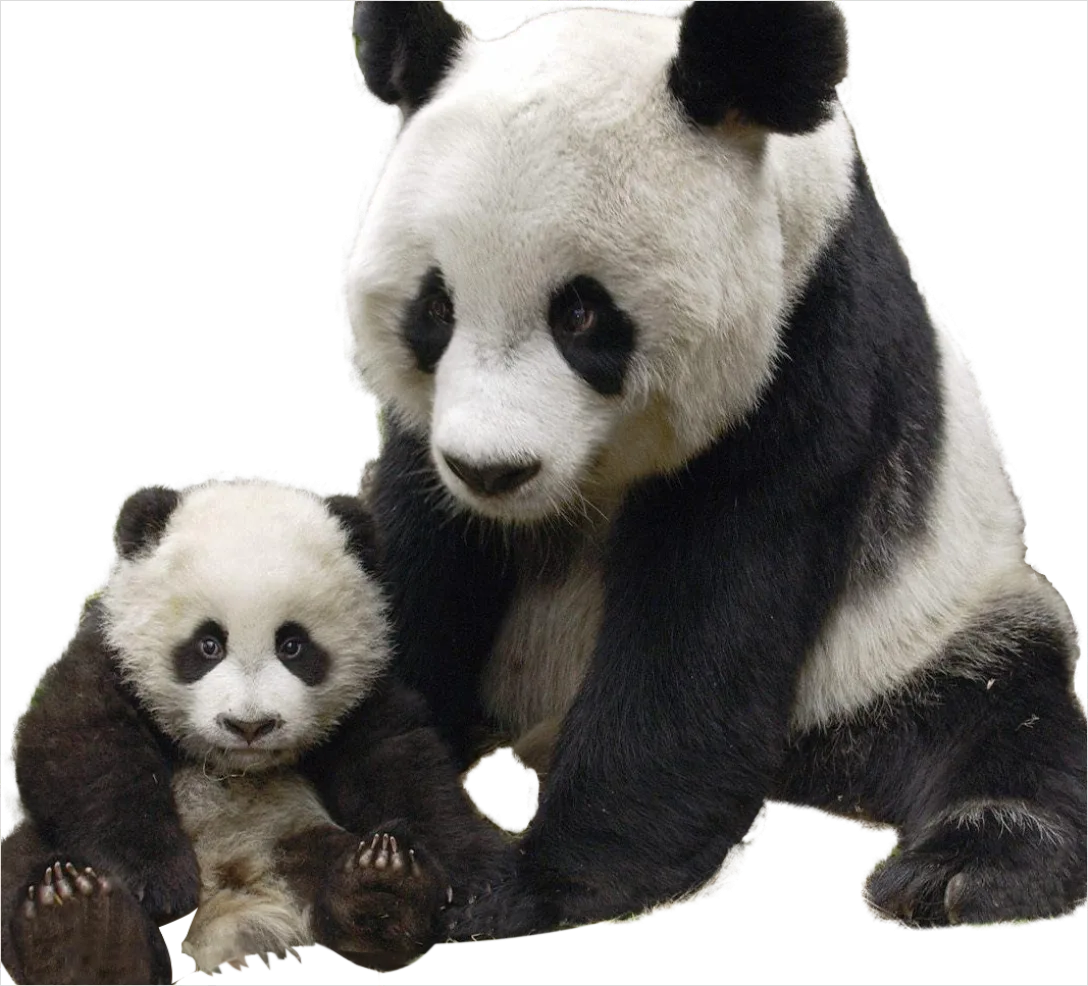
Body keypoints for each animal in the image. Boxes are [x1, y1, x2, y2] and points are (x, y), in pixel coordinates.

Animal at [2, 474, 504, 983]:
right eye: (208, 644)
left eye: (293, 645)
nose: (249, 725)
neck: (235, 767)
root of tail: (233, 912)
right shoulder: (109, 660)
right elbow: (84, 747)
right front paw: (154, 878)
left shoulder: (363, 697)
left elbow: (399, 763)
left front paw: (477, 874)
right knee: (20, 860)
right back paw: (80, 928)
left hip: (292, 836)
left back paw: (384, 886)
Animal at [337, 1, 1087, 939]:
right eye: (435, 309)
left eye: (581, 314)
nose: (492, 471)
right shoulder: (429, 436)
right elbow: (418, 562)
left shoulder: (810, 354)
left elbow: (707, 617)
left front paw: (539, 884)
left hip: (920, 624)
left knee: (1002, 705)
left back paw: (965, 868)